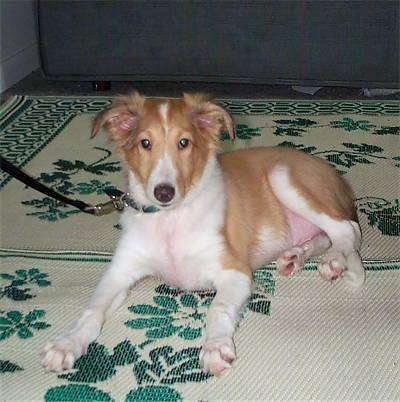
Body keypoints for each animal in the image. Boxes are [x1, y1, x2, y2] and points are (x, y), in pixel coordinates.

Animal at [40, 92, 366, 376]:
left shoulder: (235, 271)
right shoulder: (120, 271)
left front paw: (215, 347)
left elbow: (218, 308)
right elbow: (93, 309)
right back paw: (298, 256)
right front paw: (66, 343)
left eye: (184, 142)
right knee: (326, 235)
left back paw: (334, 261)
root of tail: (337, 177)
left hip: (283, 176)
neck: (170, 220)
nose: (164, 192)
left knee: (347, 229)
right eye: (145, 143)